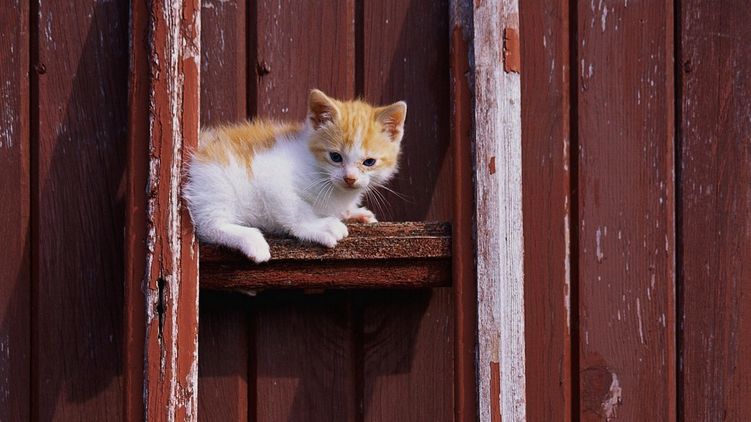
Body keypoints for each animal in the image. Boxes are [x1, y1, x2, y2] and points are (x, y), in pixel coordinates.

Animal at [184, 88, 406, 262]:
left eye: (369, 162)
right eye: (335, 157)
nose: (349, 178)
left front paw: (354, 213)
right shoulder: (271, 177)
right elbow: (295, 209)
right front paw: (319, 226)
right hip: (216, 181)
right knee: (209, 225)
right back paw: (252, 240)